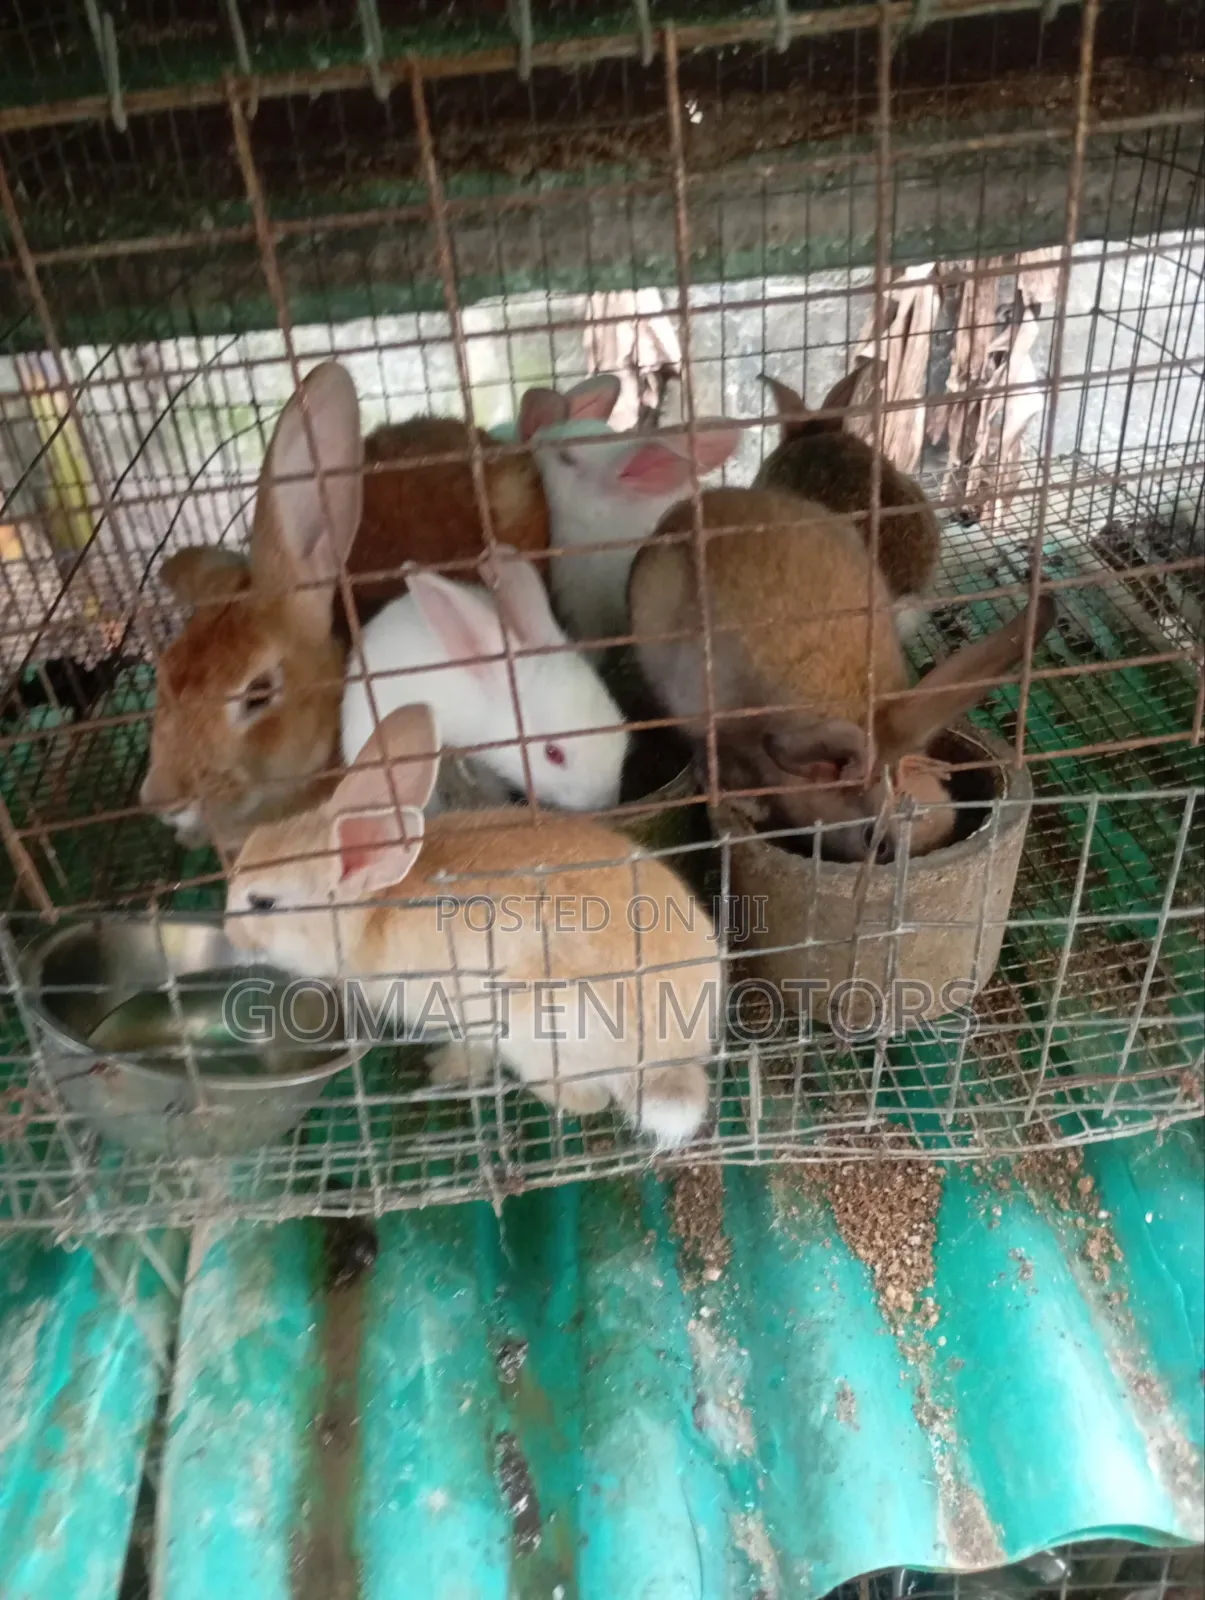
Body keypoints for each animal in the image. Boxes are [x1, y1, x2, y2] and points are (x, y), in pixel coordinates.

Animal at [225, 703, 720, 1146]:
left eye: (263, 903)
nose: (228, 933)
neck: (369, 912)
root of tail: (674, 1051)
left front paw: (446, 1069)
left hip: (534, 1025)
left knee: (587, 1099)